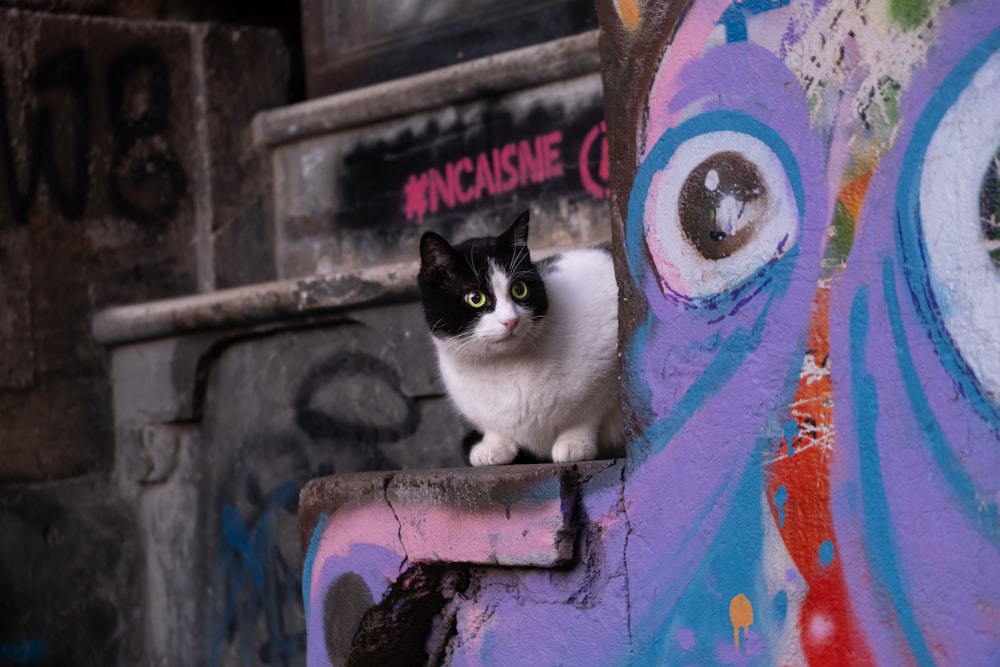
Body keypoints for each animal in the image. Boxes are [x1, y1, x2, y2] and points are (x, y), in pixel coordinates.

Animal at [416, 211, 620, 468]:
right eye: (475, 298)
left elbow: (587, 414)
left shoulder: (609, 365)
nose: (510, 320)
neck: (504, 366)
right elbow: (494, 428)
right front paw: (493, 446)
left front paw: (573, 443)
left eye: (519, 289)